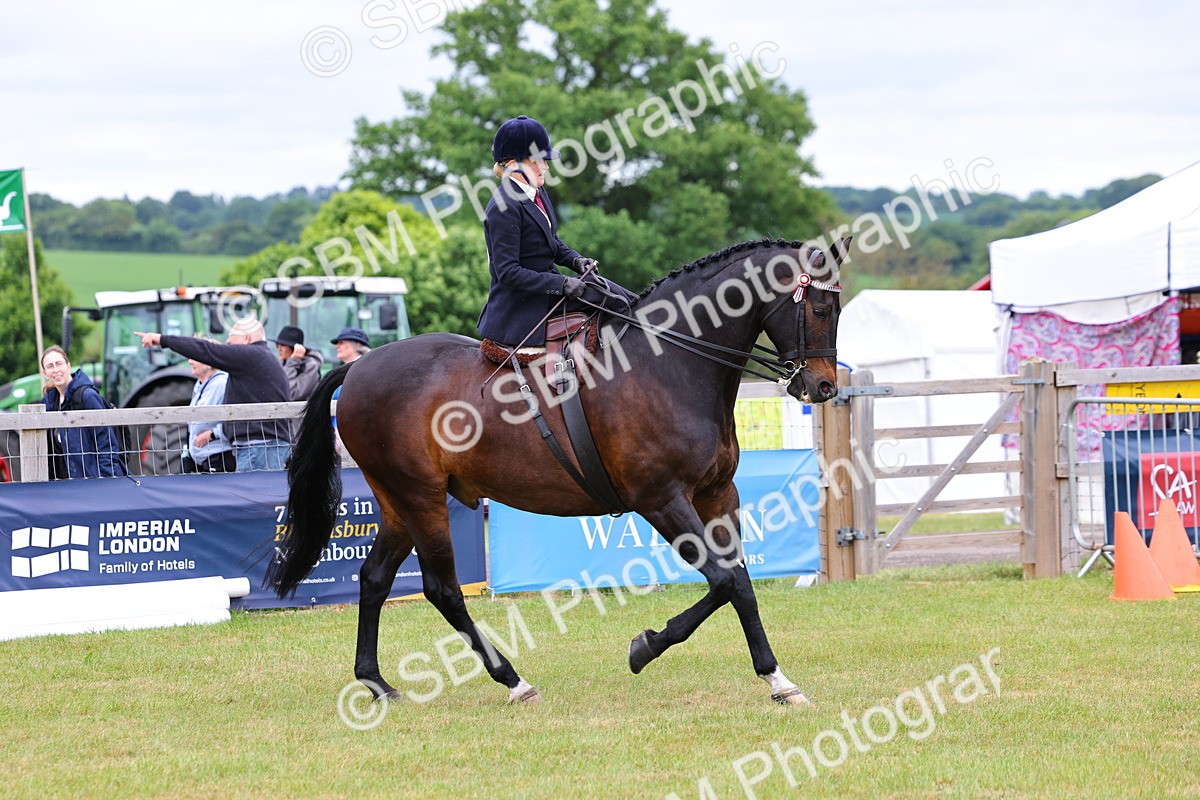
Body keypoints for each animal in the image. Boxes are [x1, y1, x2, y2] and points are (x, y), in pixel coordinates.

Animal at [267, 236, 849, 706]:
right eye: (821, 307)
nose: (823, 387)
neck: (669, 365)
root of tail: (358, 368)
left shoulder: (717, 493)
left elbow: (739, 582)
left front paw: (778, 680)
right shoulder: (661, 499)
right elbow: (725, 579)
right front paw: (646, 647)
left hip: (396, 502)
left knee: (374, 578)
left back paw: (377, 683)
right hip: (421, 497)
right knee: (442, 589)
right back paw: (512, 680)